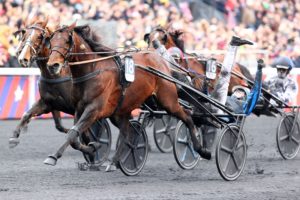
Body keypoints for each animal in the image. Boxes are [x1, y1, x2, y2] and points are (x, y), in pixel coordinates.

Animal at [9, 18, 73, 148]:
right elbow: (58, 125)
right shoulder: (49, 102)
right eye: (24, 36)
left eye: (39, 36)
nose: (22, 58)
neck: (55, 74)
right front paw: (14, 136)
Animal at [44, 22, 211, 168]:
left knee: (187, 117)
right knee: (127, 132)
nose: (53, 65)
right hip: (121, 111)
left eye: (67, 40)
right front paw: (93, 147)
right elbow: (77, 135)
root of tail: (161, 61)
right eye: (51, 41)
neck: (93, 70)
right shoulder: (80, 108)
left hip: (168, 100)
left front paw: (53, 157)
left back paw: (202, 150)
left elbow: (73, 133)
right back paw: (114, 162)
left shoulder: (94, 109)